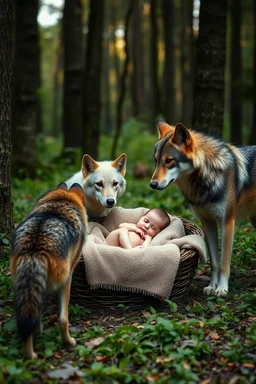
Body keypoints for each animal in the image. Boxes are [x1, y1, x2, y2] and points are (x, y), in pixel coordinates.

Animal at [10, 182, 88, 358]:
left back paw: (32, 349)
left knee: (29, 319)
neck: (59, 203)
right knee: (63, 319)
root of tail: (35, 248)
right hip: (64, 282)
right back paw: (67, 342)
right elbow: (62, 318)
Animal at [150, 120, 256, 296]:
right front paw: (212, 286)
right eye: (156, 161)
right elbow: (214, 262)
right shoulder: (207, 223)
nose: (152, 184)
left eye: (169, 160)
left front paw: (221, 289)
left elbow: (224, 262)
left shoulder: (227, 223)